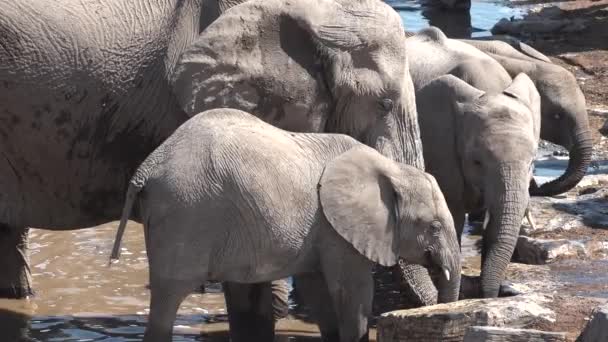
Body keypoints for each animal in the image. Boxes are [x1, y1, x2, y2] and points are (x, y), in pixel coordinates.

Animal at [108, 108, 460, 342]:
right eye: (434, 227)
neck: (391, 168)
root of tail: (147, 167)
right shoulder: (338, 230)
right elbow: (352, 292)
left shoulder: (323, 230)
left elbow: (318, 288)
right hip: (186, 214)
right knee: (168, 298)